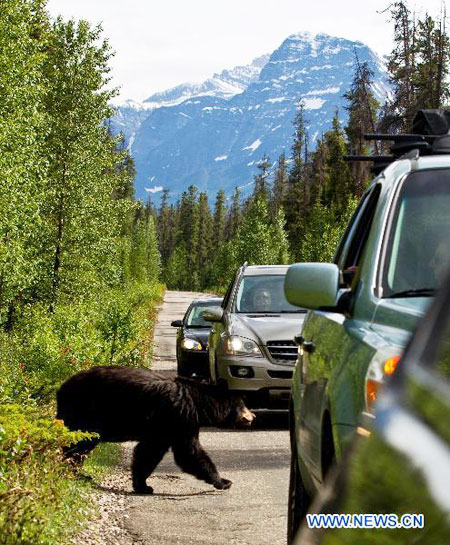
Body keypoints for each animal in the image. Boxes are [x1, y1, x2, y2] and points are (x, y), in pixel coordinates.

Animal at [55, 366, 253, 492]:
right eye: (242, 404)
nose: (252, 417)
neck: (198, 403)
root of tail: (61, 388)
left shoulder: (167, 427)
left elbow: (149, 452)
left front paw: (142, 484)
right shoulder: (178, 418)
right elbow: (188, 453)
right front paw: (223, 481)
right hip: (85, 413)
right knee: (79, 442)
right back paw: (72, 470)